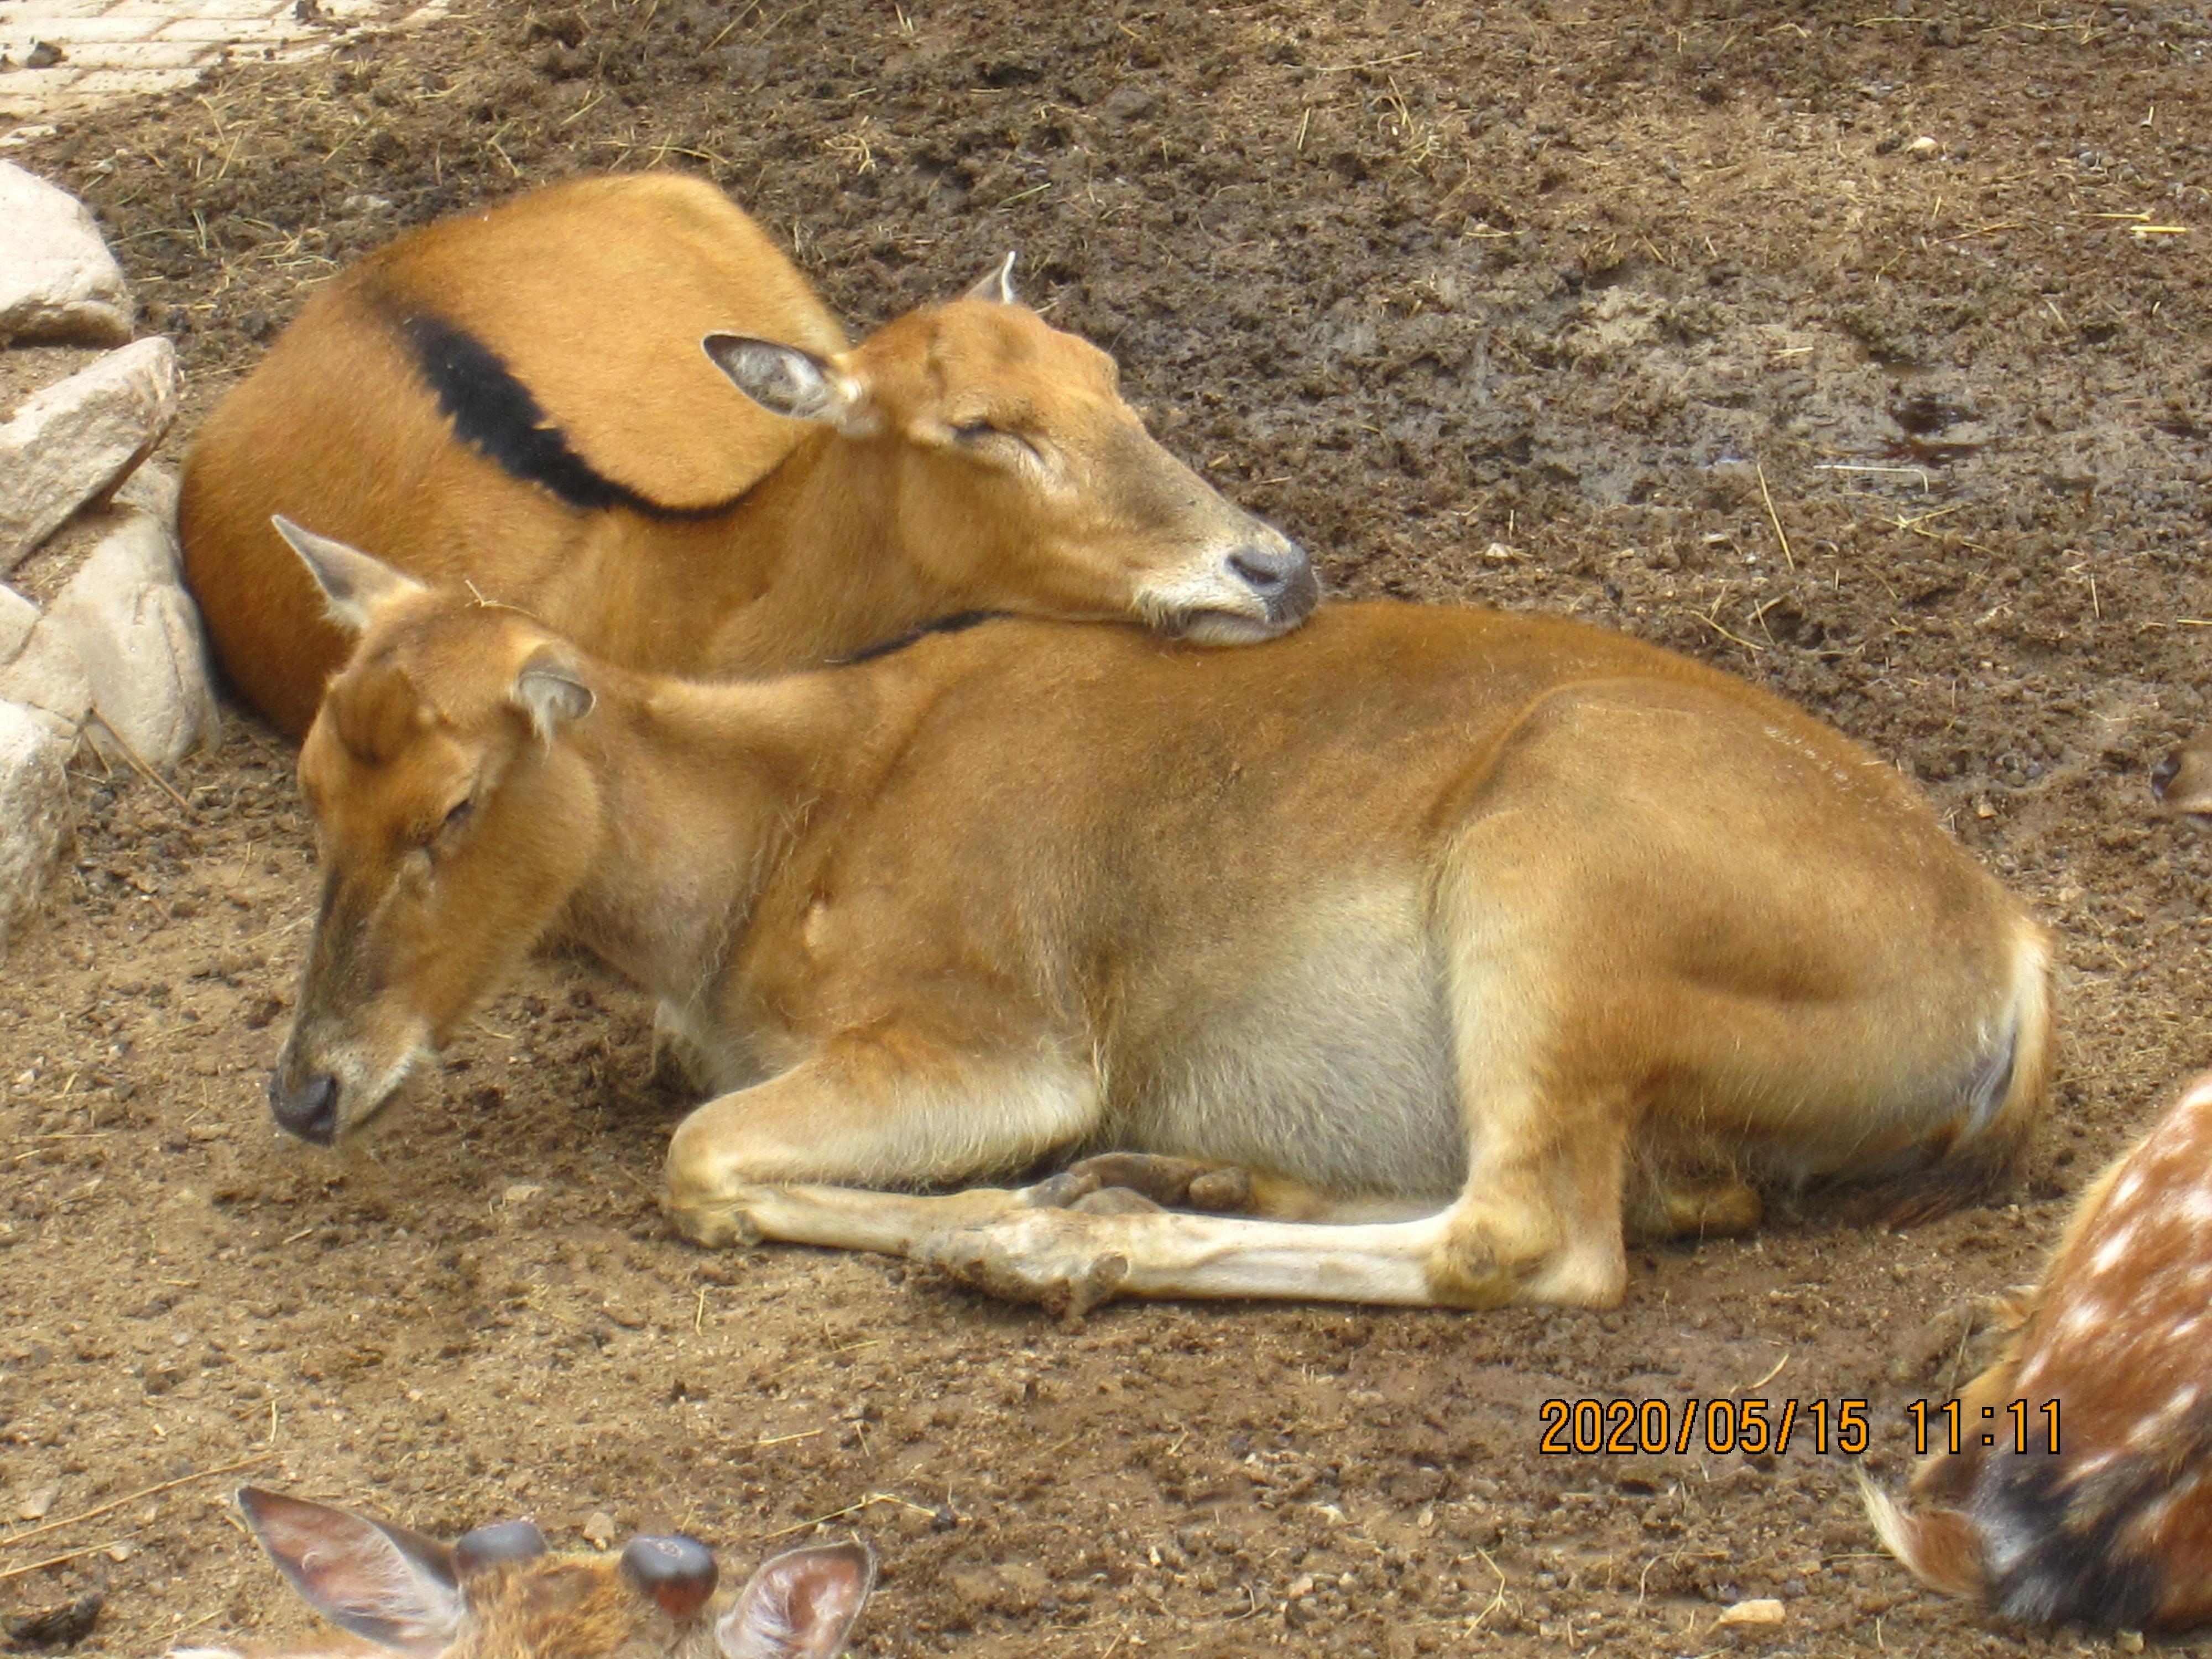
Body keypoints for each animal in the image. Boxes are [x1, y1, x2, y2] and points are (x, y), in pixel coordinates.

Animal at [268, 526, 2044, 1318]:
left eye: (453, 809)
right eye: (307, 779)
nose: (305, 1088)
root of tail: (2014, 972)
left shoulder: (1003, 1029)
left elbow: (698, 1155)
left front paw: (988, 1225)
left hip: (1557, 887)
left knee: (1531, 1233)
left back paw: (1070, 1232)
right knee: (1645, 1198)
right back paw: (1163, 1174)